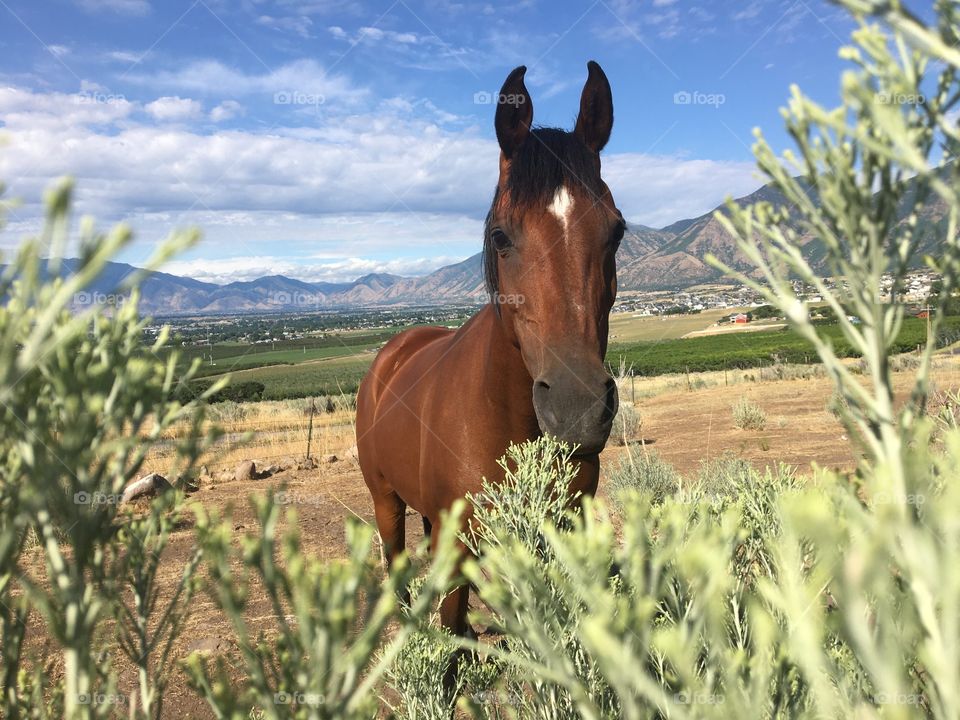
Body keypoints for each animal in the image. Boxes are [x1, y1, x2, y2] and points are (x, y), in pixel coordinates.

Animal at [355, 60, 623, 637]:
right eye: (500, 236)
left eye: (616, 232)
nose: (578, 408)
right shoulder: (455, 546)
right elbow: (453, 634)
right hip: (386, 502)